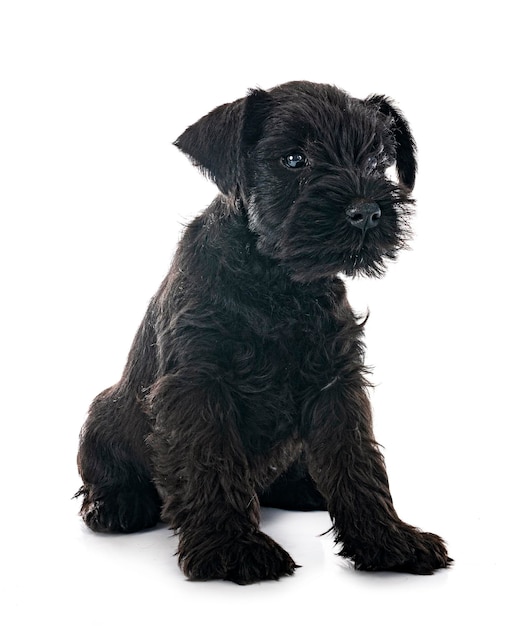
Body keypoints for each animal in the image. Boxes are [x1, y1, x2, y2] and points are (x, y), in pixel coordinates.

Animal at [76, 81, 452, 580]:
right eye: (294, 159)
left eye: (376, 159)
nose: (368, 211)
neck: (278, 282)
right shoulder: (198, 385)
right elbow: (210, 462)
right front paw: (232, 547)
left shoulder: (336, 382)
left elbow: (358, 460)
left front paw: (389, 539)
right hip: (103, 414)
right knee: (107, 472)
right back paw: (116, 503)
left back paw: (308, 489)